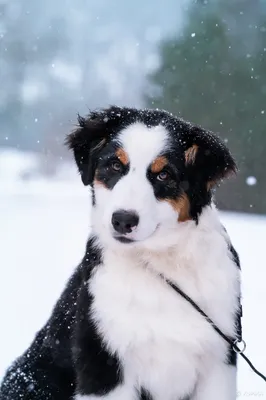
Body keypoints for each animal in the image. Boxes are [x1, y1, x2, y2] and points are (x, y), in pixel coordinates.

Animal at [0, 106, 241, 400]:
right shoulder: (104, 363)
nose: (123, 220)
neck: (160, 269)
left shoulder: (219, 360)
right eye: (115, 165)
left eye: (164, 175)